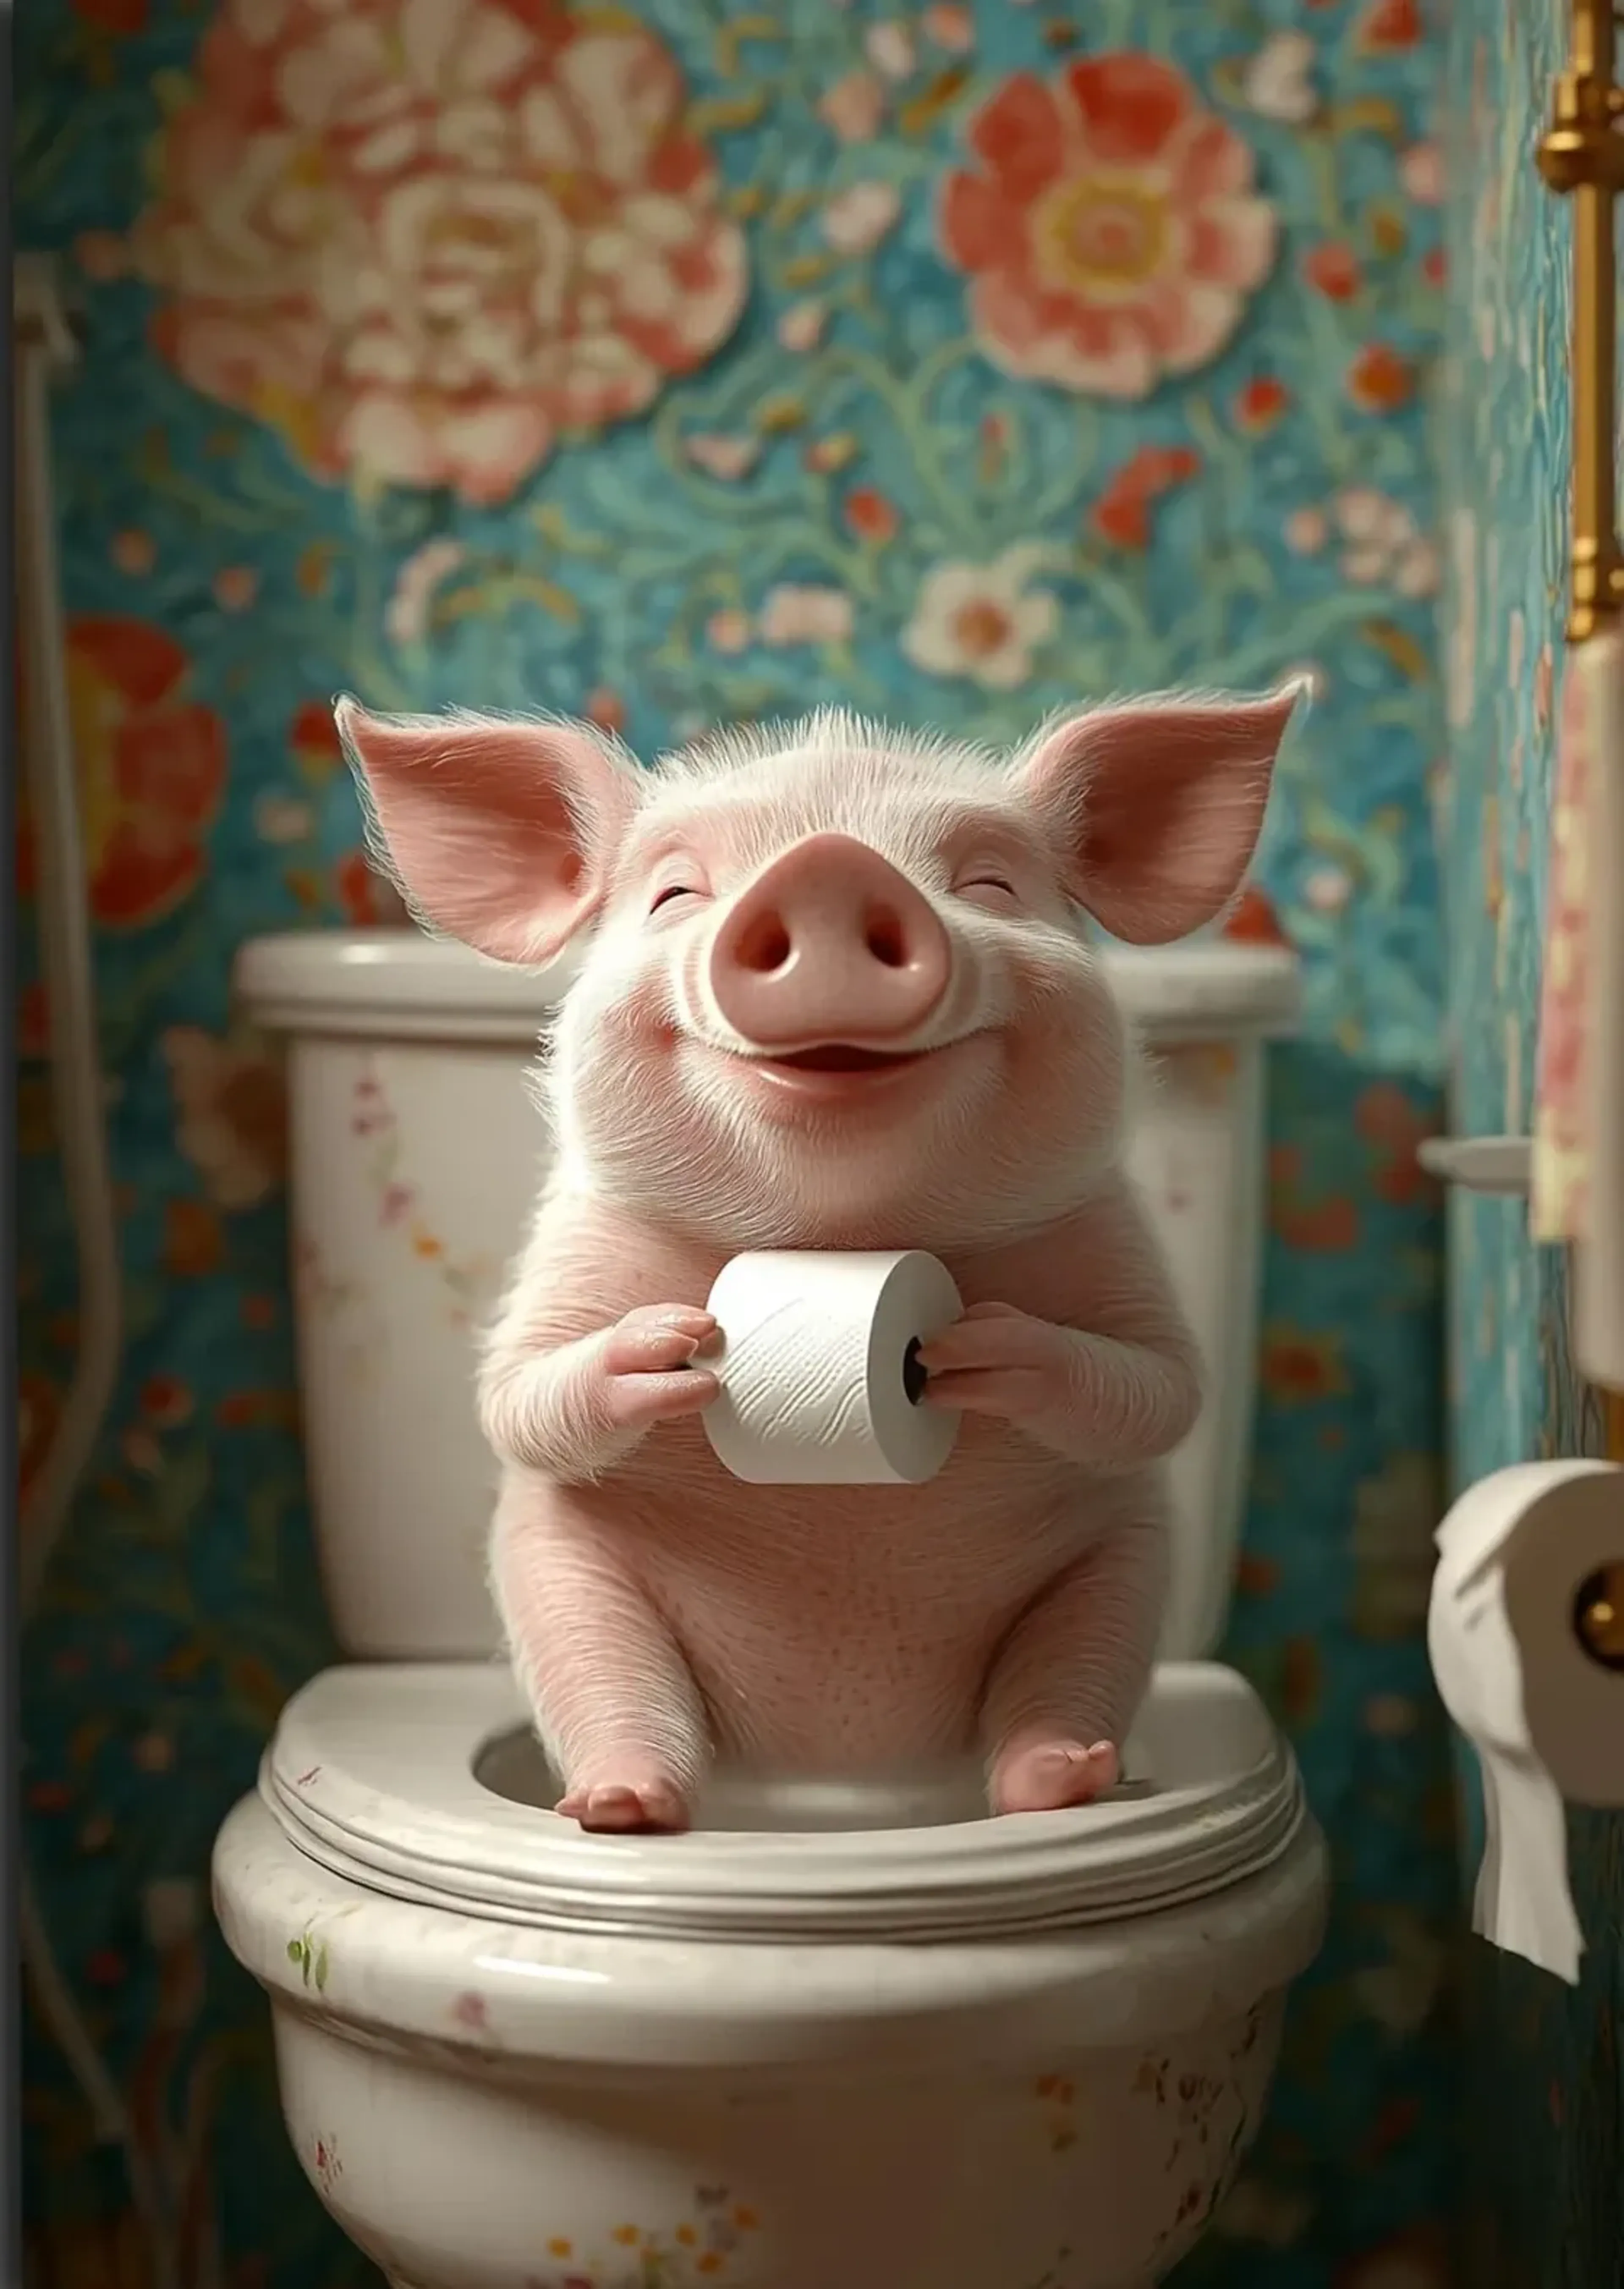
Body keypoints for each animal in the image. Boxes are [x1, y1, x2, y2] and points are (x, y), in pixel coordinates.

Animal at [337, 685, 1302, 1835]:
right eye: (675, 893)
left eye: (987, 883)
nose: (830, 868)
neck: (839, 1235)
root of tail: (837, 1781)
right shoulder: (573, 1251)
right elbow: (514, 1393)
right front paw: (669, 1341)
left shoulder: (1107, 1236)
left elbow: (1160, 1385)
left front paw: (985, 1348)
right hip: (562, 1580)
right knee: (613, 1690)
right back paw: (620, 1802)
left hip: (1115, 1571)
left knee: (1065, 1682)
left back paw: (1062, 1776)